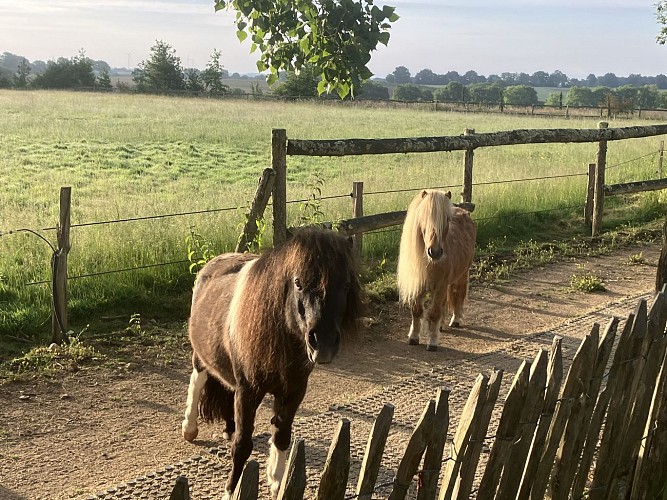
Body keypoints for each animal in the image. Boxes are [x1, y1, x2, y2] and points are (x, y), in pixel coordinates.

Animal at [180, 227, 362, 499]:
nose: (324, 344)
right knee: (197, 381)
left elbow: (282, 434)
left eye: (346, 284)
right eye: (298, 283)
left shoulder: (293, 391)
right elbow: (242, 446)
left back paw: (228, 427)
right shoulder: (249, 392)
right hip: (201, 358)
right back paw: (189, 428)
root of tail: (214, 263)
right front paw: (231, 491)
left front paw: (277, 481)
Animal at [397, 189, 476, 351]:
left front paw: (432, 342)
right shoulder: (419, 286)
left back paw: (456, 319)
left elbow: (433, 313)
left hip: (462, 275)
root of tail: (463, 212)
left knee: (459, 293)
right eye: (423, 217)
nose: (435, 252)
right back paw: (441, 325)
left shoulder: (440, 286)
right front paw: (413, 337)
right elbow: (417, 311)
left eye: (447, 219)